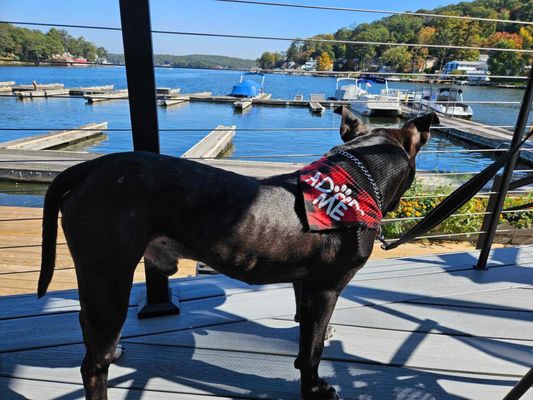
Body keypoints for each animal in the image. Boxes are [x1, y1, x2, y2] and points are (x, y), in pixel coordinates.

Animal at [37, 107, 436, 400]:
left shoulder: (305, 286)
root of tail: (91, 167)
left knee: (89, 330)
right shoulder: (325, 289)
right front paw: (314, 388)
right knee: (93, 365)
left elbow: (306, 331)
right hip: (109, 275)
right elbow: (312, 351)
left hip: (100, 281)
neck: (356, 178)